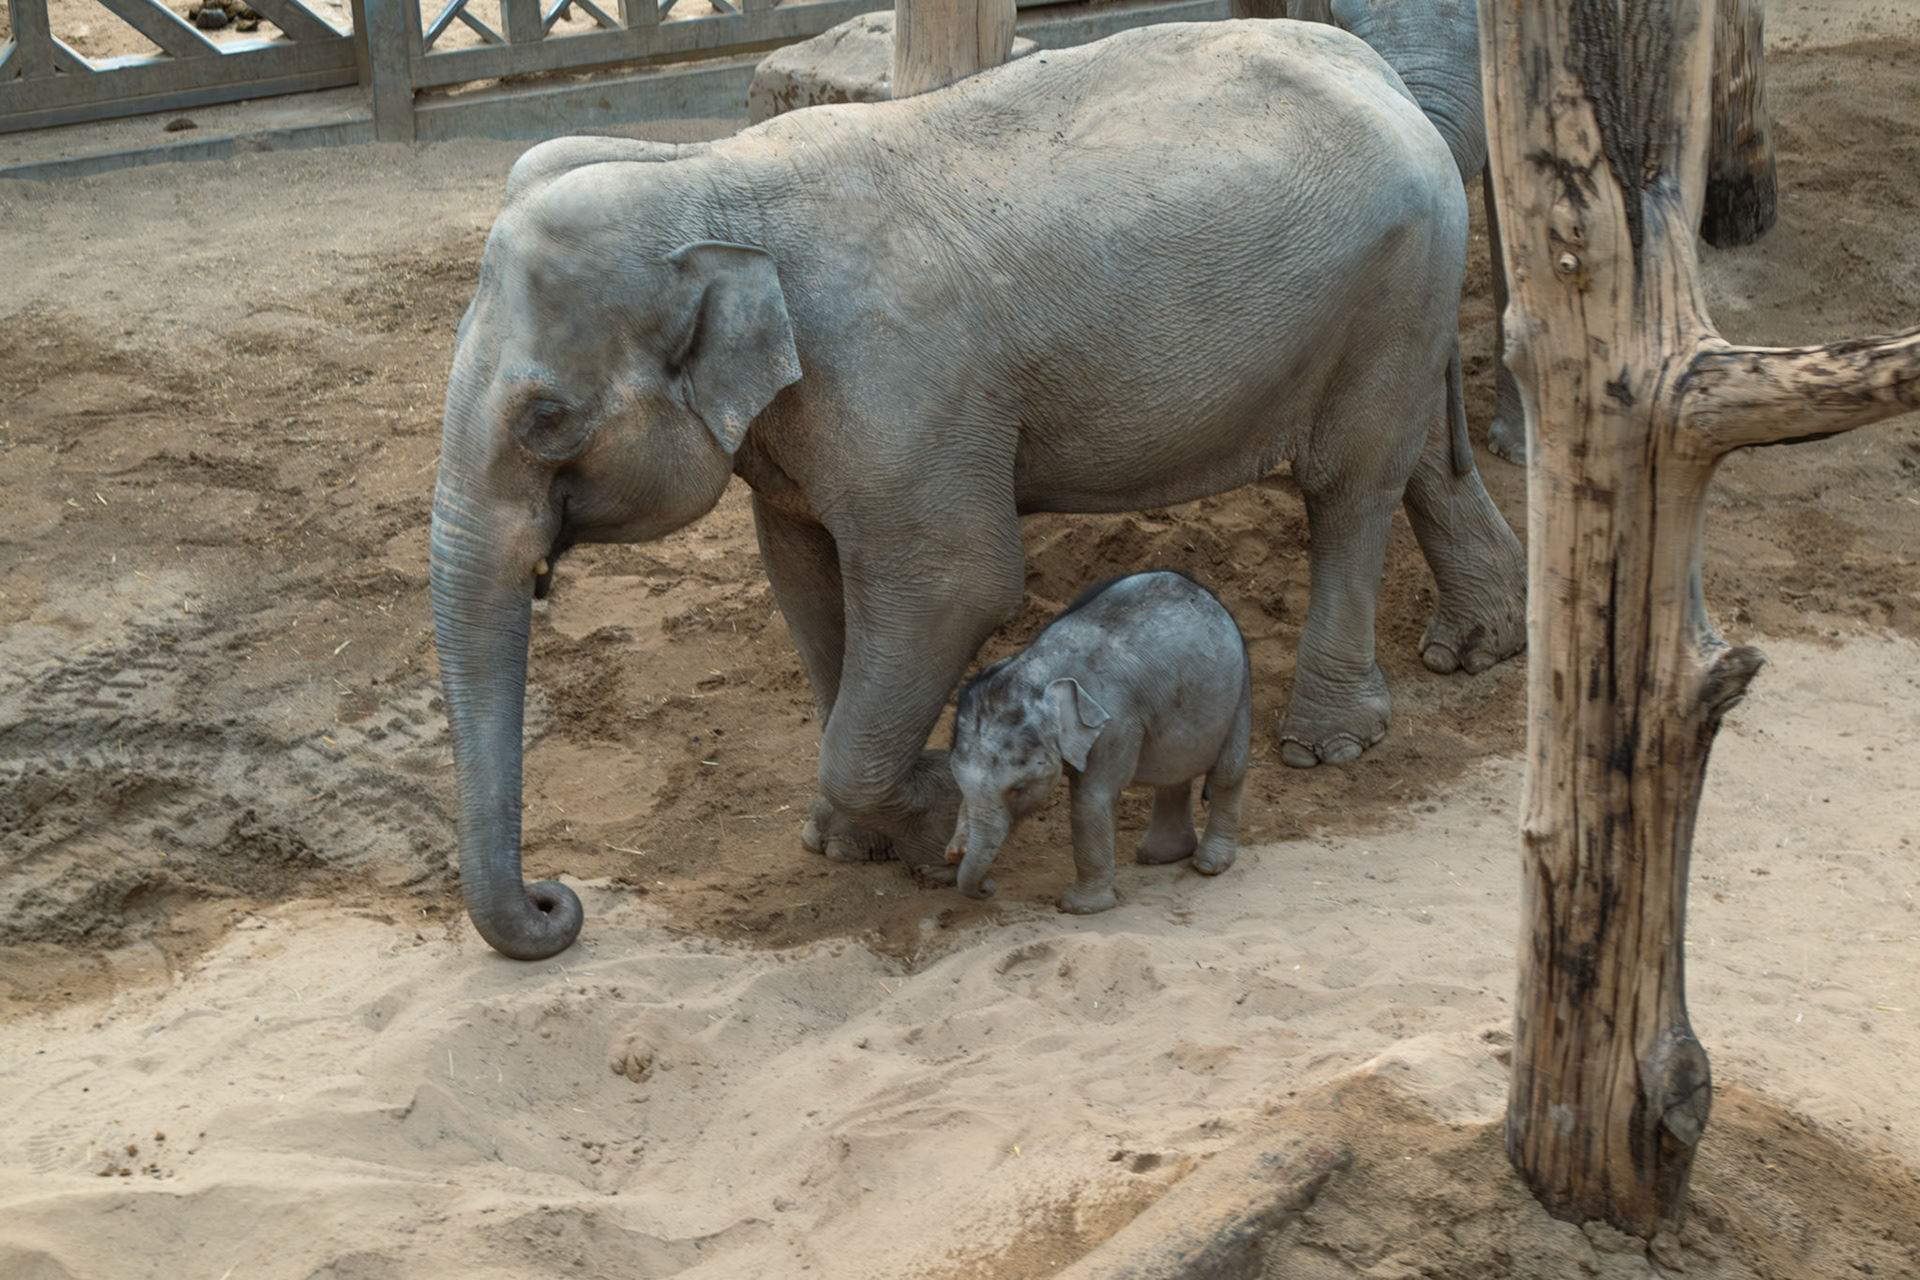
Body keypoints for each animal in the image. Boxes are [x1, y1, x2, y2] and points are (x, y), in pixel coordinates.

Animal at [946, 571, 1252, 914]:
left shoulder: (1116, 723)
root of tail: (1204, 590)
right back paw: (1159, 856)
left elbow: (1091, 800)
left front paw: (1079, 907)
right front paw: (956, 849)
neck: (1041, 670)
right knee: (1174, 772)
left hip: (1238, 691)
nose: (988, 886)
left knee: (1226, 772)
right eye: (958, 781)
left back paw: (1208, 865)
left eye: (1019, 788)